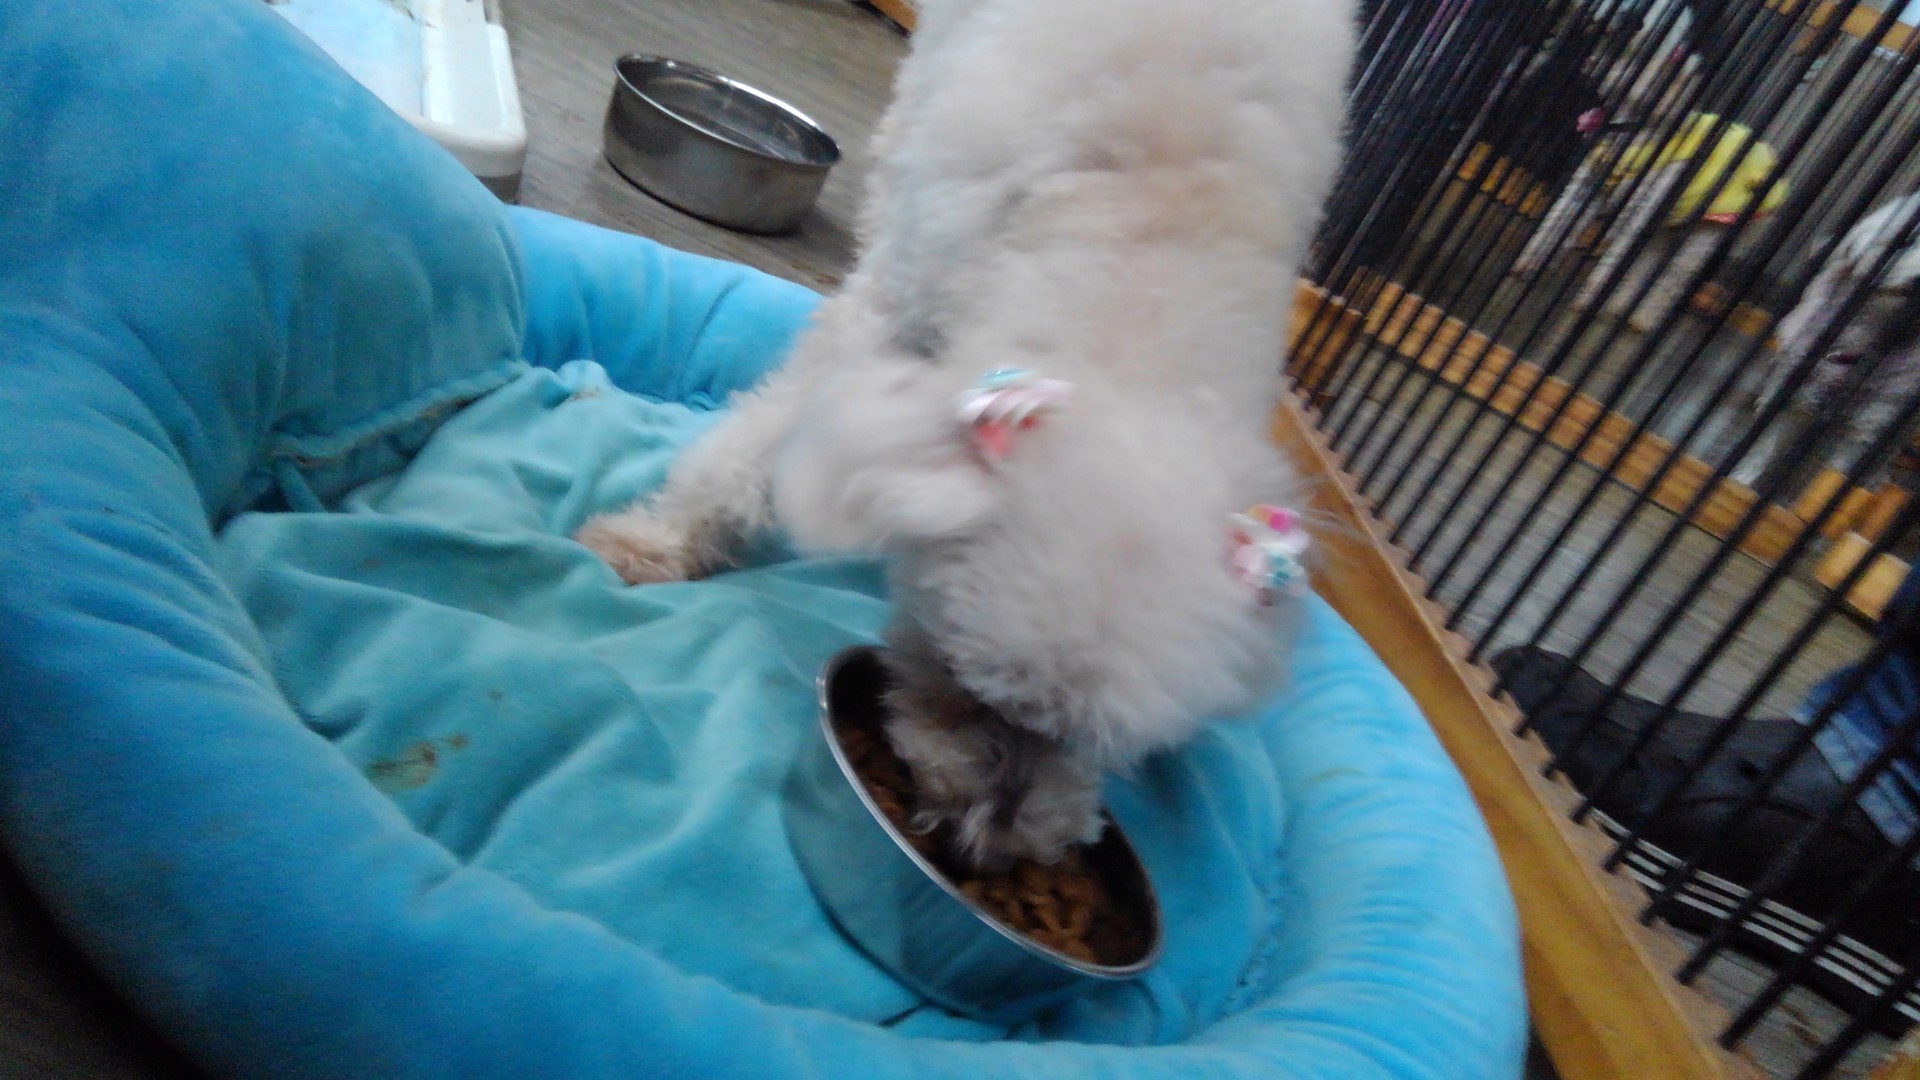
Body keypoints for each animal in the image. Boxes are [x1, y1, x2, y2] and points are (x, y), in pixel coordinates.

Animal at [576, 0, 1353, 868]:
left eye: (1099, 743)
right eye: (966, 682)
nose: (995, 842)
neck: (1147, 256)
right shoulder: (884, 318)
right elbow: (754, 450)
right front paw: (661, 544)